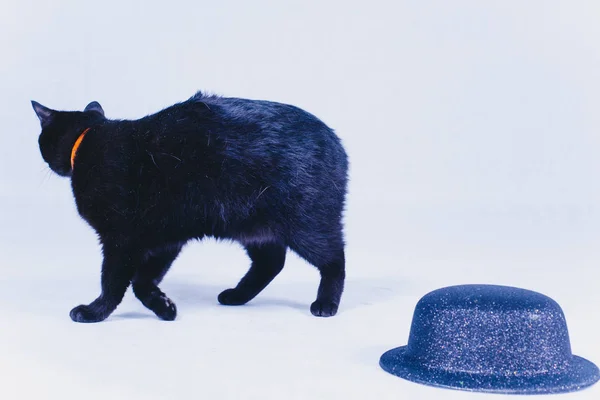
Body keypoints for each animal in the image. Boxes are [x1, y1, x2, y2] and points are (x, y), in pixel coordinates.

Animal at [32, 90, 350, 322]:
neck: (87, 142)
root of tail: (336, 141)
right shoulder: (162, 238)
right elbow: (141, 282)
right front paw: (163, 306)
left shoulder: (122, 241)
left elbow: (114, 281)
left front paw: (94, 311)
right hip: (251, 226)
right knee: (271, 262)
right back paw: (236, 296)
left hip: (305, 223)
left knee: (334, 259)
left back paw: (326, 303)